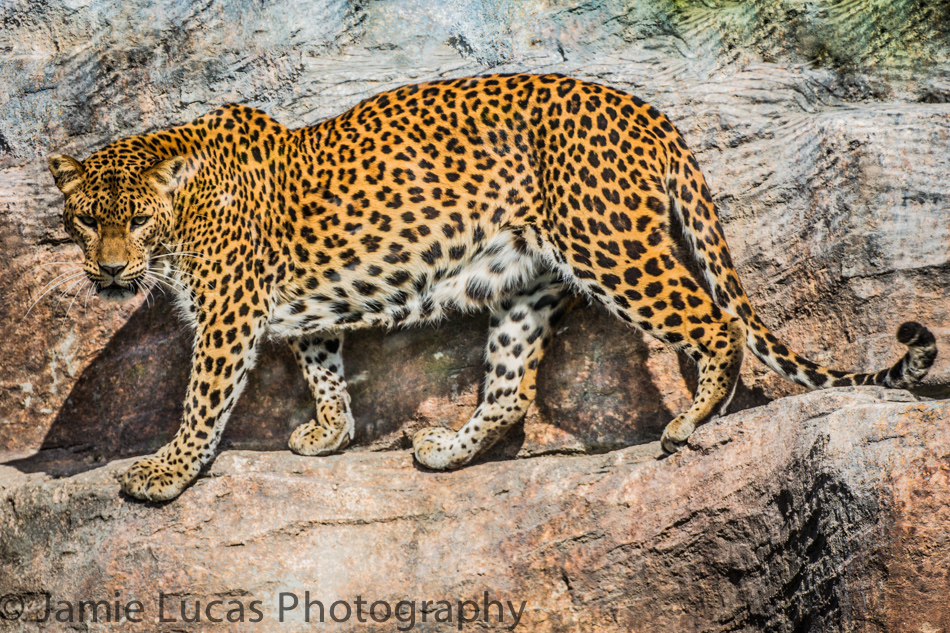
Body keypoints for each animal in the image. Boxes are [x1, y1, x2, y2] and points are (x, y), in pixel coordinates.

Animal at [47, 73, 937, 502]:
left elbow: (202, 398)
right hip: (527, 284)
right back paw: (446, 449)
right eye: (87, 220)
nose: (110, 269)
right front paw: (331, 432)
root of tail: (649, 113)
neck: (184, 211)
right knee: (511, 391)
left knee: (714, 324)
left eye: (135, 220)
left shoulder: (230, 313)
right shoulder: (302, 310)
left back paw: (690, 422)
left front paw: (164, 473)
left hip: (610, 245)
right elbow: (322, 362)